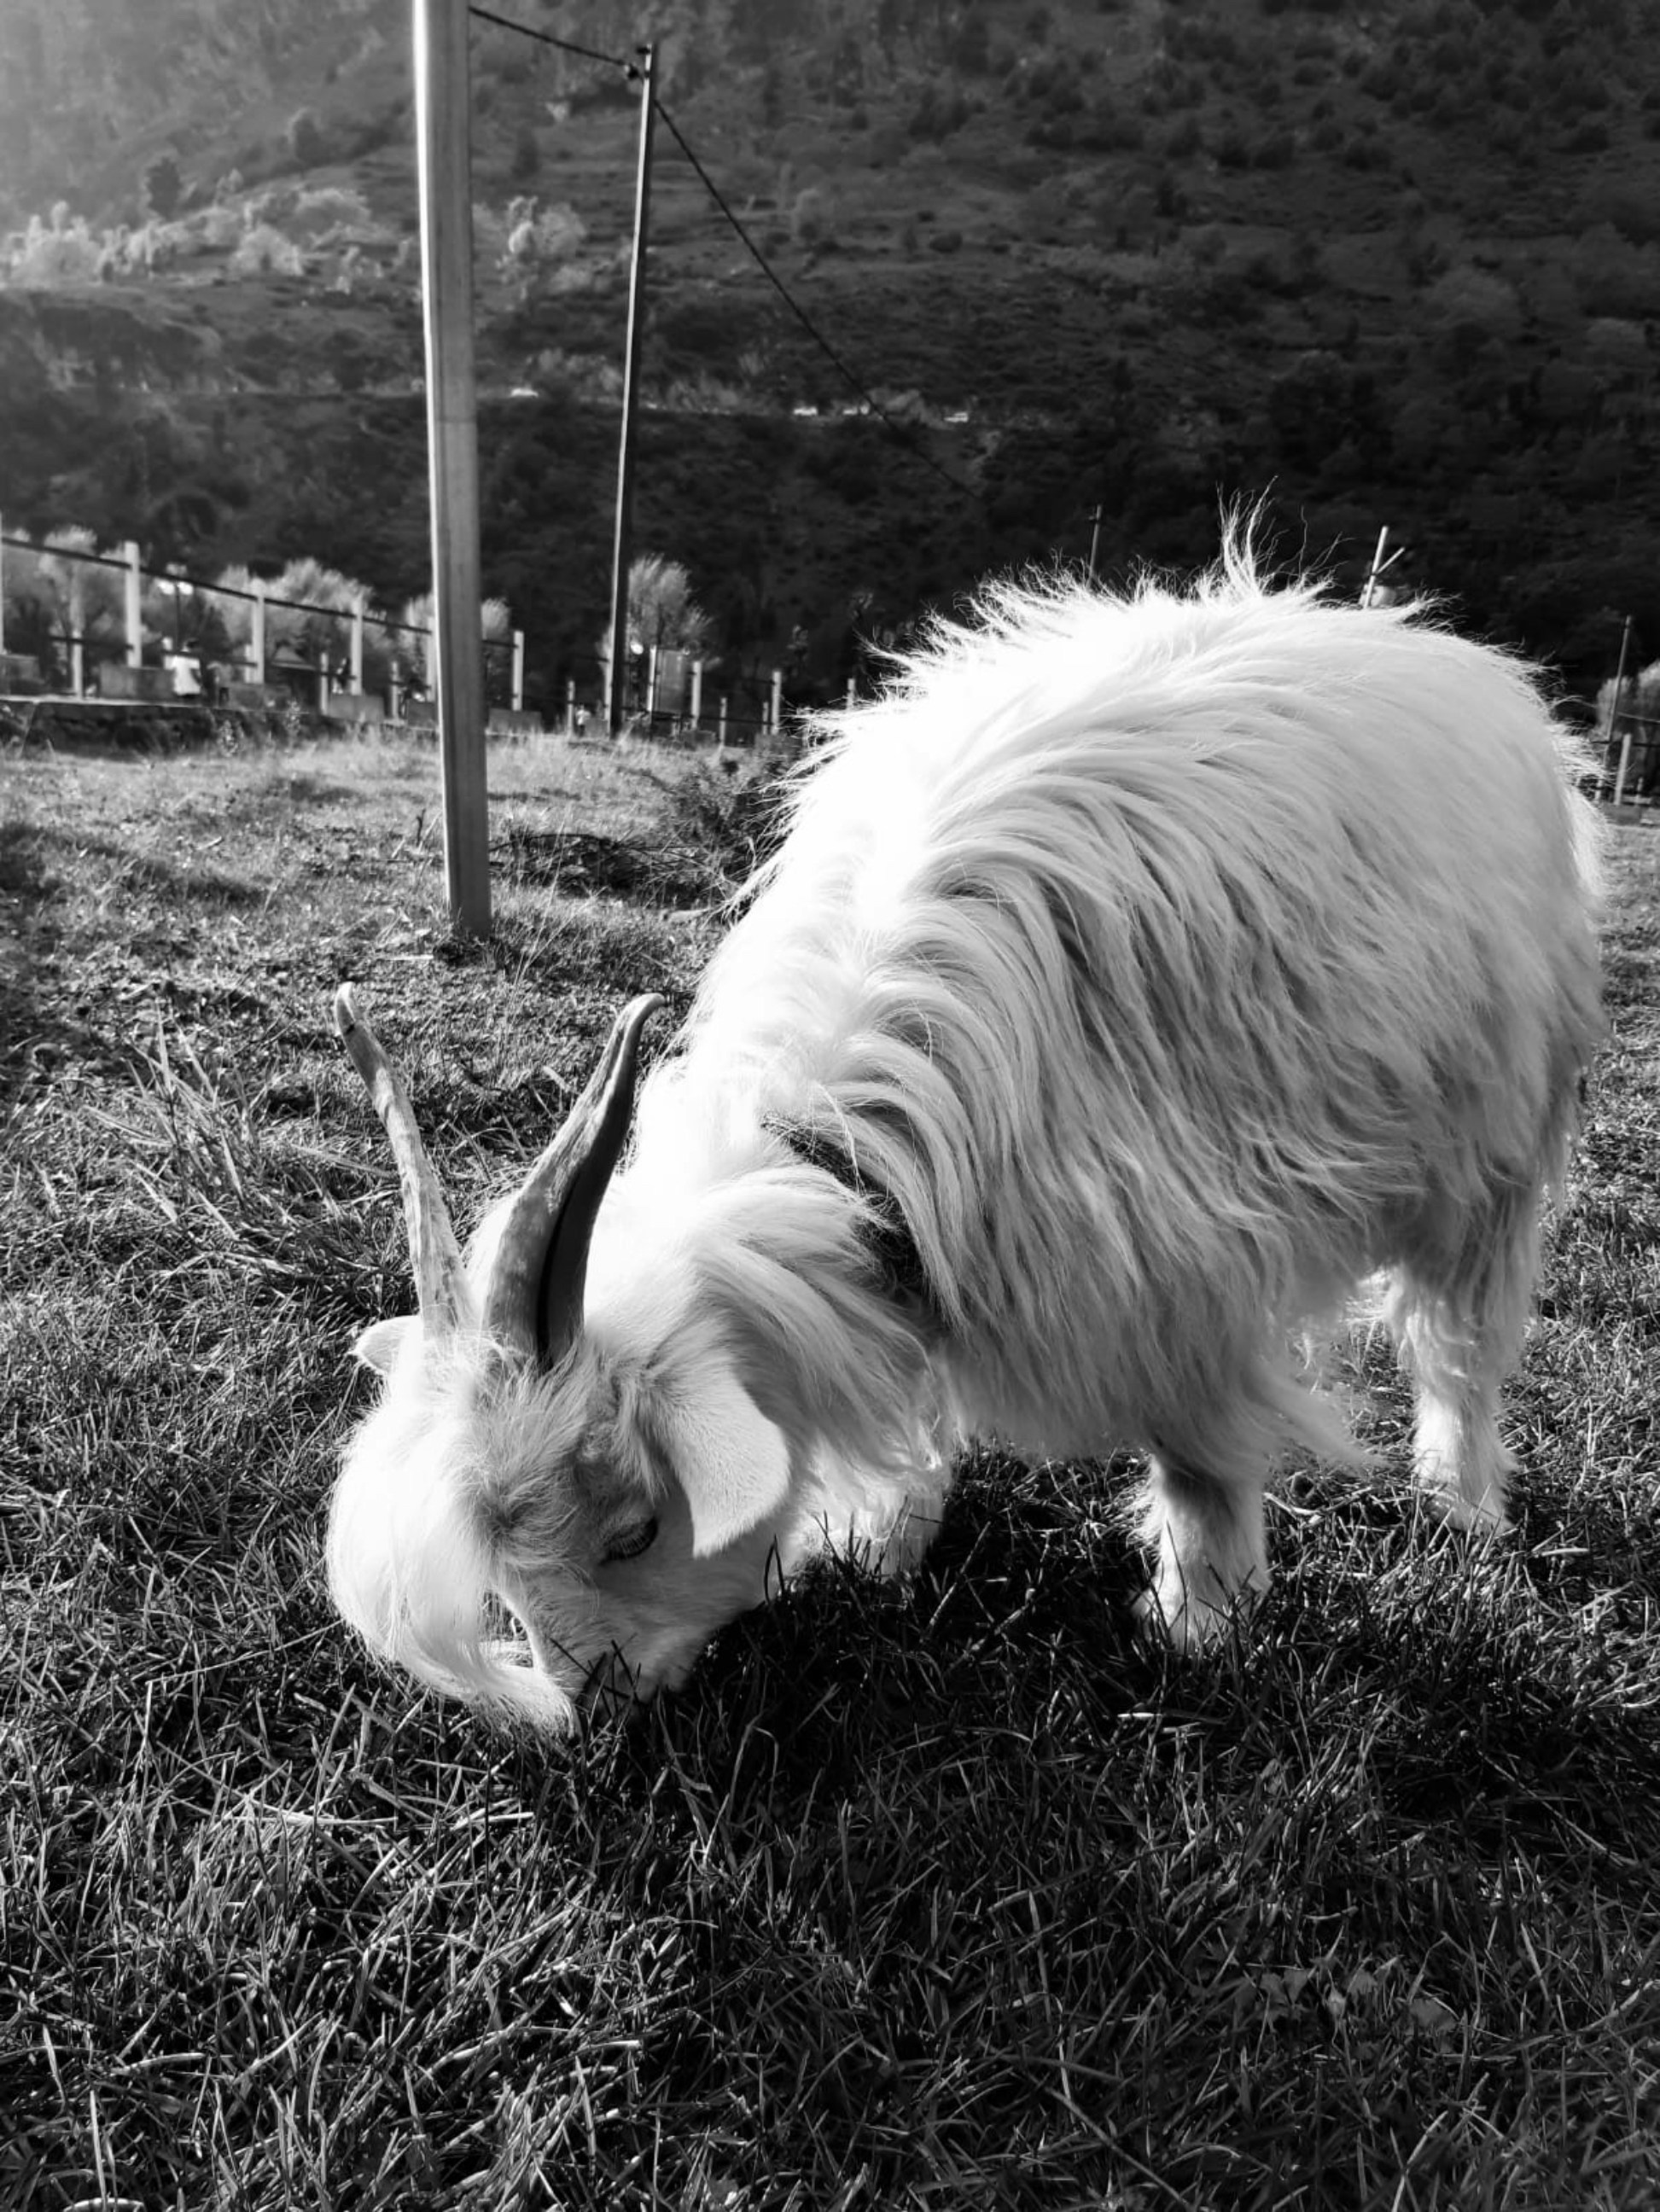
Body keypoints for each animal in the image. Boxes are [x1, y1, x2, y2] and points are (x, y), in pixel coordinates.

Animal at [327, 546, 1603, 1731]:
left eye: (637, 1529)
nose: (598, 1717)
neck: (857, 1135)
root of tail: (1411, 635)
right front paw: (884, 1538)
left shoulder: (1178, 1264)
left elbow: (1197, 1464)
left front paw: (1201, 1627)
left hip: (1493, 1148)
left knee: (1458, 1338)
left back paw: (1461, 1500)